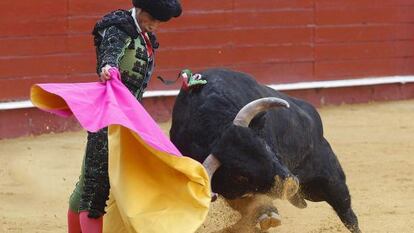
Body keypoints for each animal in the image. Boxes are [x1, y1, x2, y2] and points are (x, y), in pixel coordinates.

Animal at [170, 68, 360, 232]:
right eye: (240, 176)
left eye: (266, 147)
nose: (289, 186)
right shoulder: (229, 190)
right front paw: (266, 216)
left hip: (329, 178)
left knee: (347, 213)